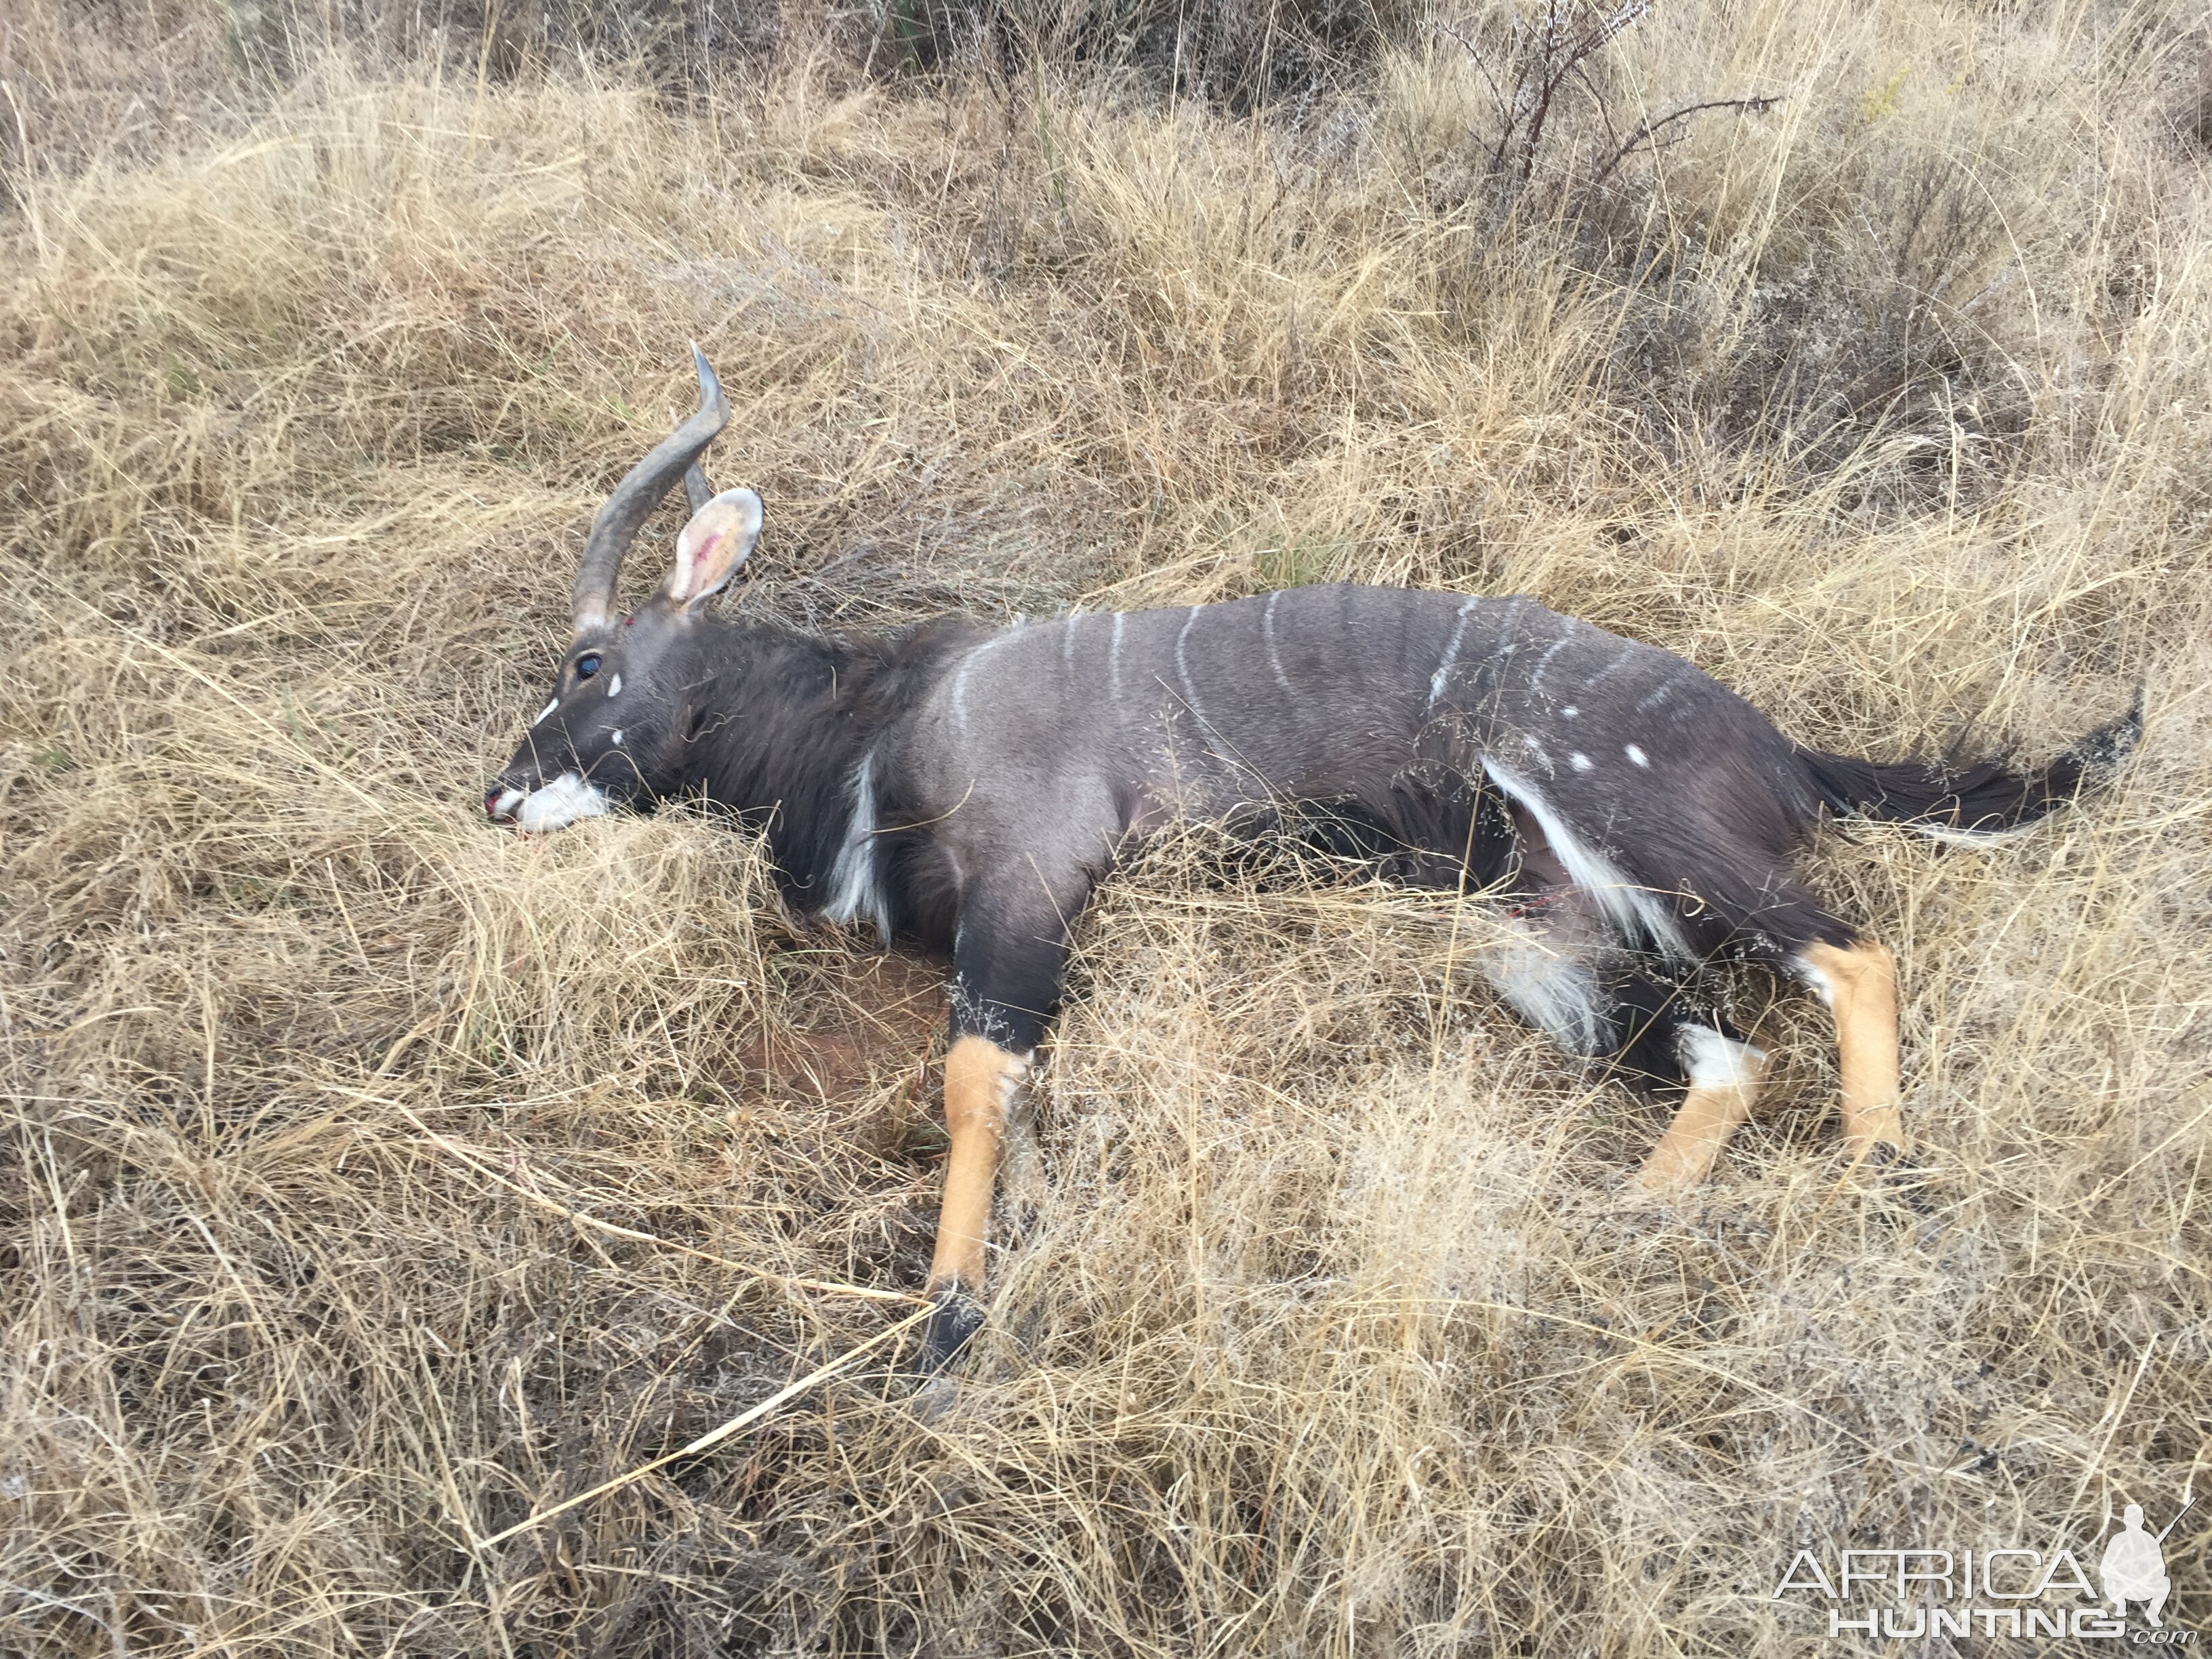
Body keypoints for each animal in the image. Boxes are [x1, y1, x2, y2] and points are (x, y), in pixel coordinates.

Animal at [489, 347, 2141, 1362]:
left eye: (586, 663)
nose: (501, 795)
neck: (880, 720)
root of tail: (1790, 750)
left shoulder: (1027, 891)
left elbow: (972, 1083)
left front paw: (951, 1314)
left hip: (1636, 832)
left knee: (1852, 954)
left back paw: (1874, 1174)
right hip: (1538, 940)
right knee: (1730, 1057)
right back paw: (1629, 1221)